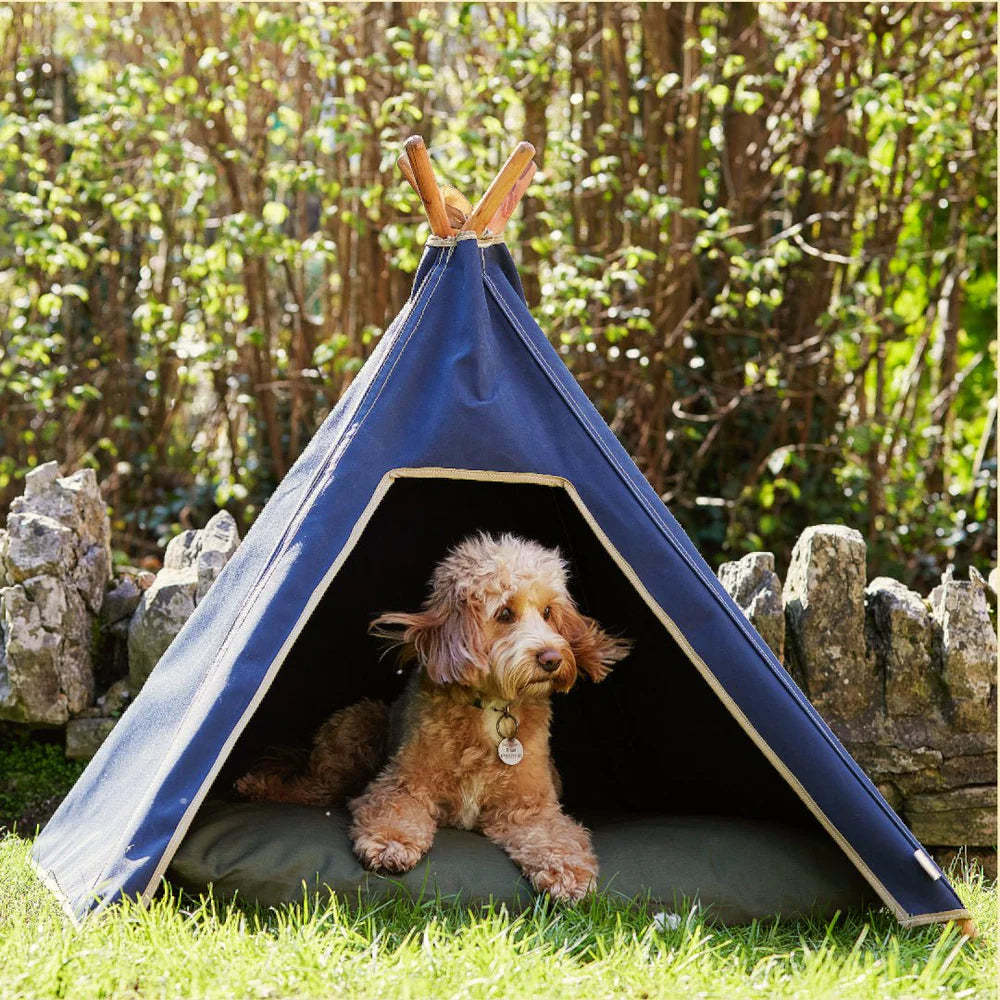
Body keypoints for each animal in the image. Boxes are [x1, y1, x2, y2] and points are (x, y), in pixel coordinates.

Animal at [234, 536, 628, 904]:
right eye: (504, 614)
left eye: (548, 611)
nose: (552, 658)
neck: (492, 708)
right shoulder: (402, 784)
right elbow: (395, 811)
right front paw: (391, 845)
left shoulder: (530, 806)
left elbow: (556, 836)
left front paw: (569, 875)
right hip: (357, 725)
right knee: (311, 789)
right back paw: (257, 787)